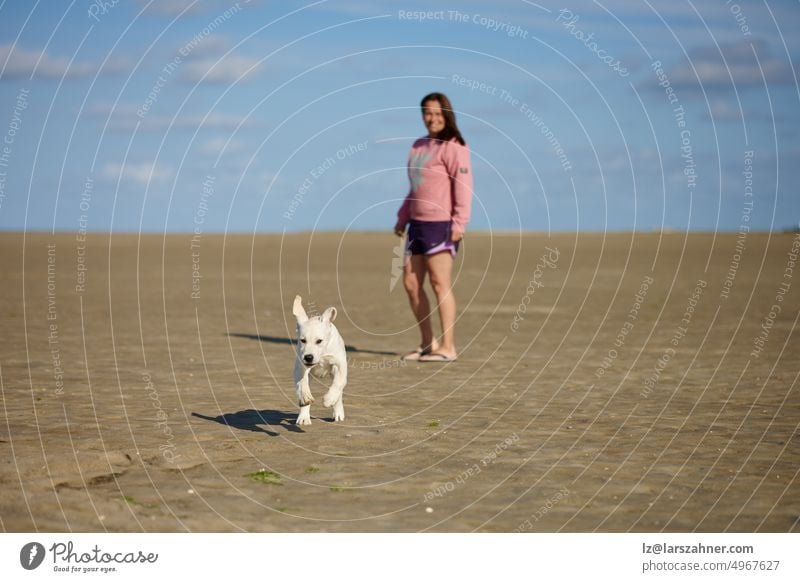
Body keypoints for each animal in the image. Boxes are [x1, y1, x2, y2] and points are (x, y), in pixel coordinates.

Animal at [290, 296, 346, 424]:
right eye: (303, 340)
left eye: (319, 341)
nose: (308, 357)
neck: (322, 354)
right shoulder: (301, 365)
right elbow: (302, 382)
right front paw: (304, 396)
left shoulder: (339, 364)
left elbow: (338, 384)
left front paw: (328, 400)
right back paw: (304, 417)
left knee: (339, 392)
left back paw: (338, 411)